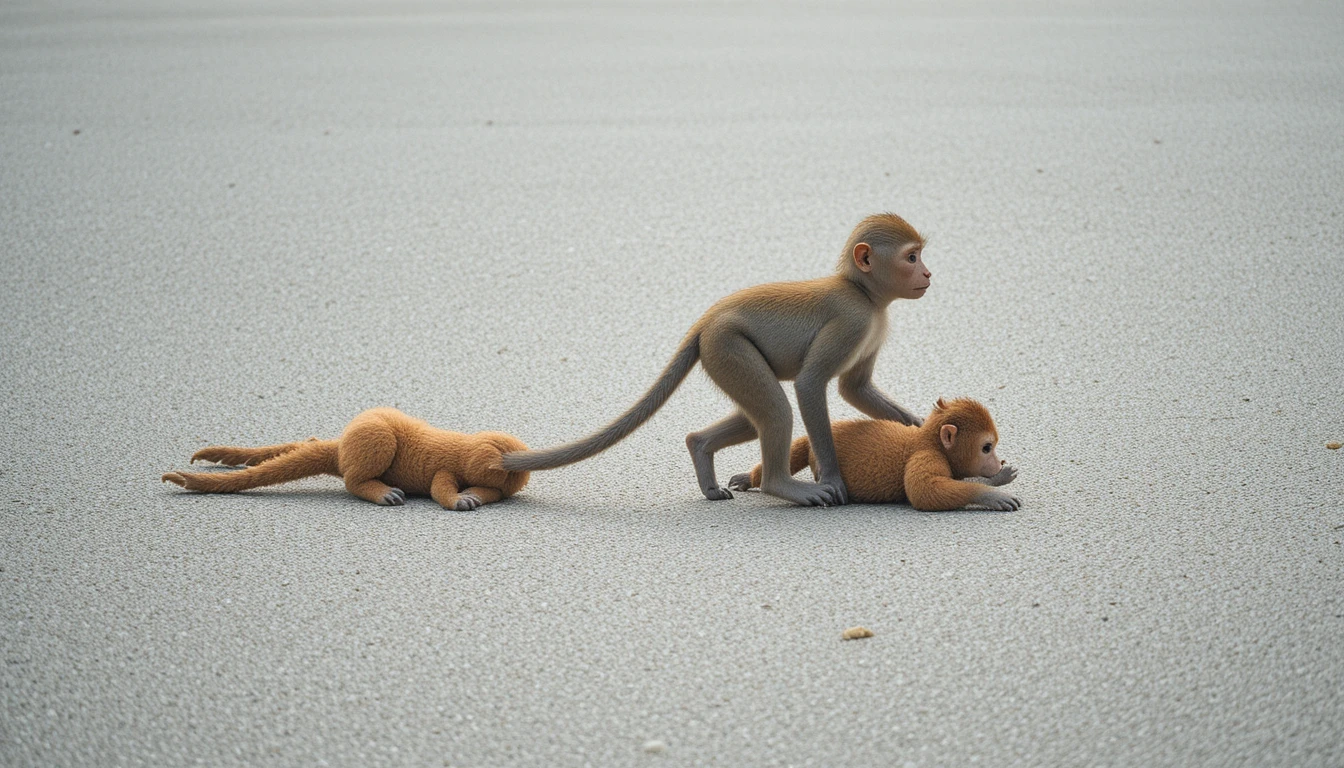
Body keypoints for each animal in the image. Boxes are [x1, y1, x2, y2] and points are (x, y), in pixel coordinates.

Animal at [161, 408, 529, 511]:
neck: (462, 447)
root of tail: (340, 451)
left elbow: (488, 492)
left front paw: (472, 497)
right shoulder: (446, 466)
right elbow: (441, 489)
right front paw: (459, 500)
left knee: (310, 444)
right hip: (376, 439)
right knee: (354, 481)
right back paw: (384, 492)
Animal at [501, 212, 931, 507]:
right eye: (911, 257)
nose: (928, 273)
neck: (864, 292)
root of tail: (707, 320)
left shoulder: (875, 325)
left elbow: (855, 388)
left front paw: (918, 426)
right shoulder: (852, 320)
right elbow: (811, 384)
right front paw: (834, 478)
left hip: (722, 355)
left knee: (754, 416)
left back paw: (701, 448)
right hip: (726, 346)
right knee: (776, 410)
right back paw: (780, 486)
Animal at [724, 398, 1020, 511]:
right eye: (986, 448)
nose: (995, 461)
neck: (930, 441)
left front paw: (995, 479)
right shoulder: (926, 456)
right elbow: (924, 492)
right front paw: (989, 494)